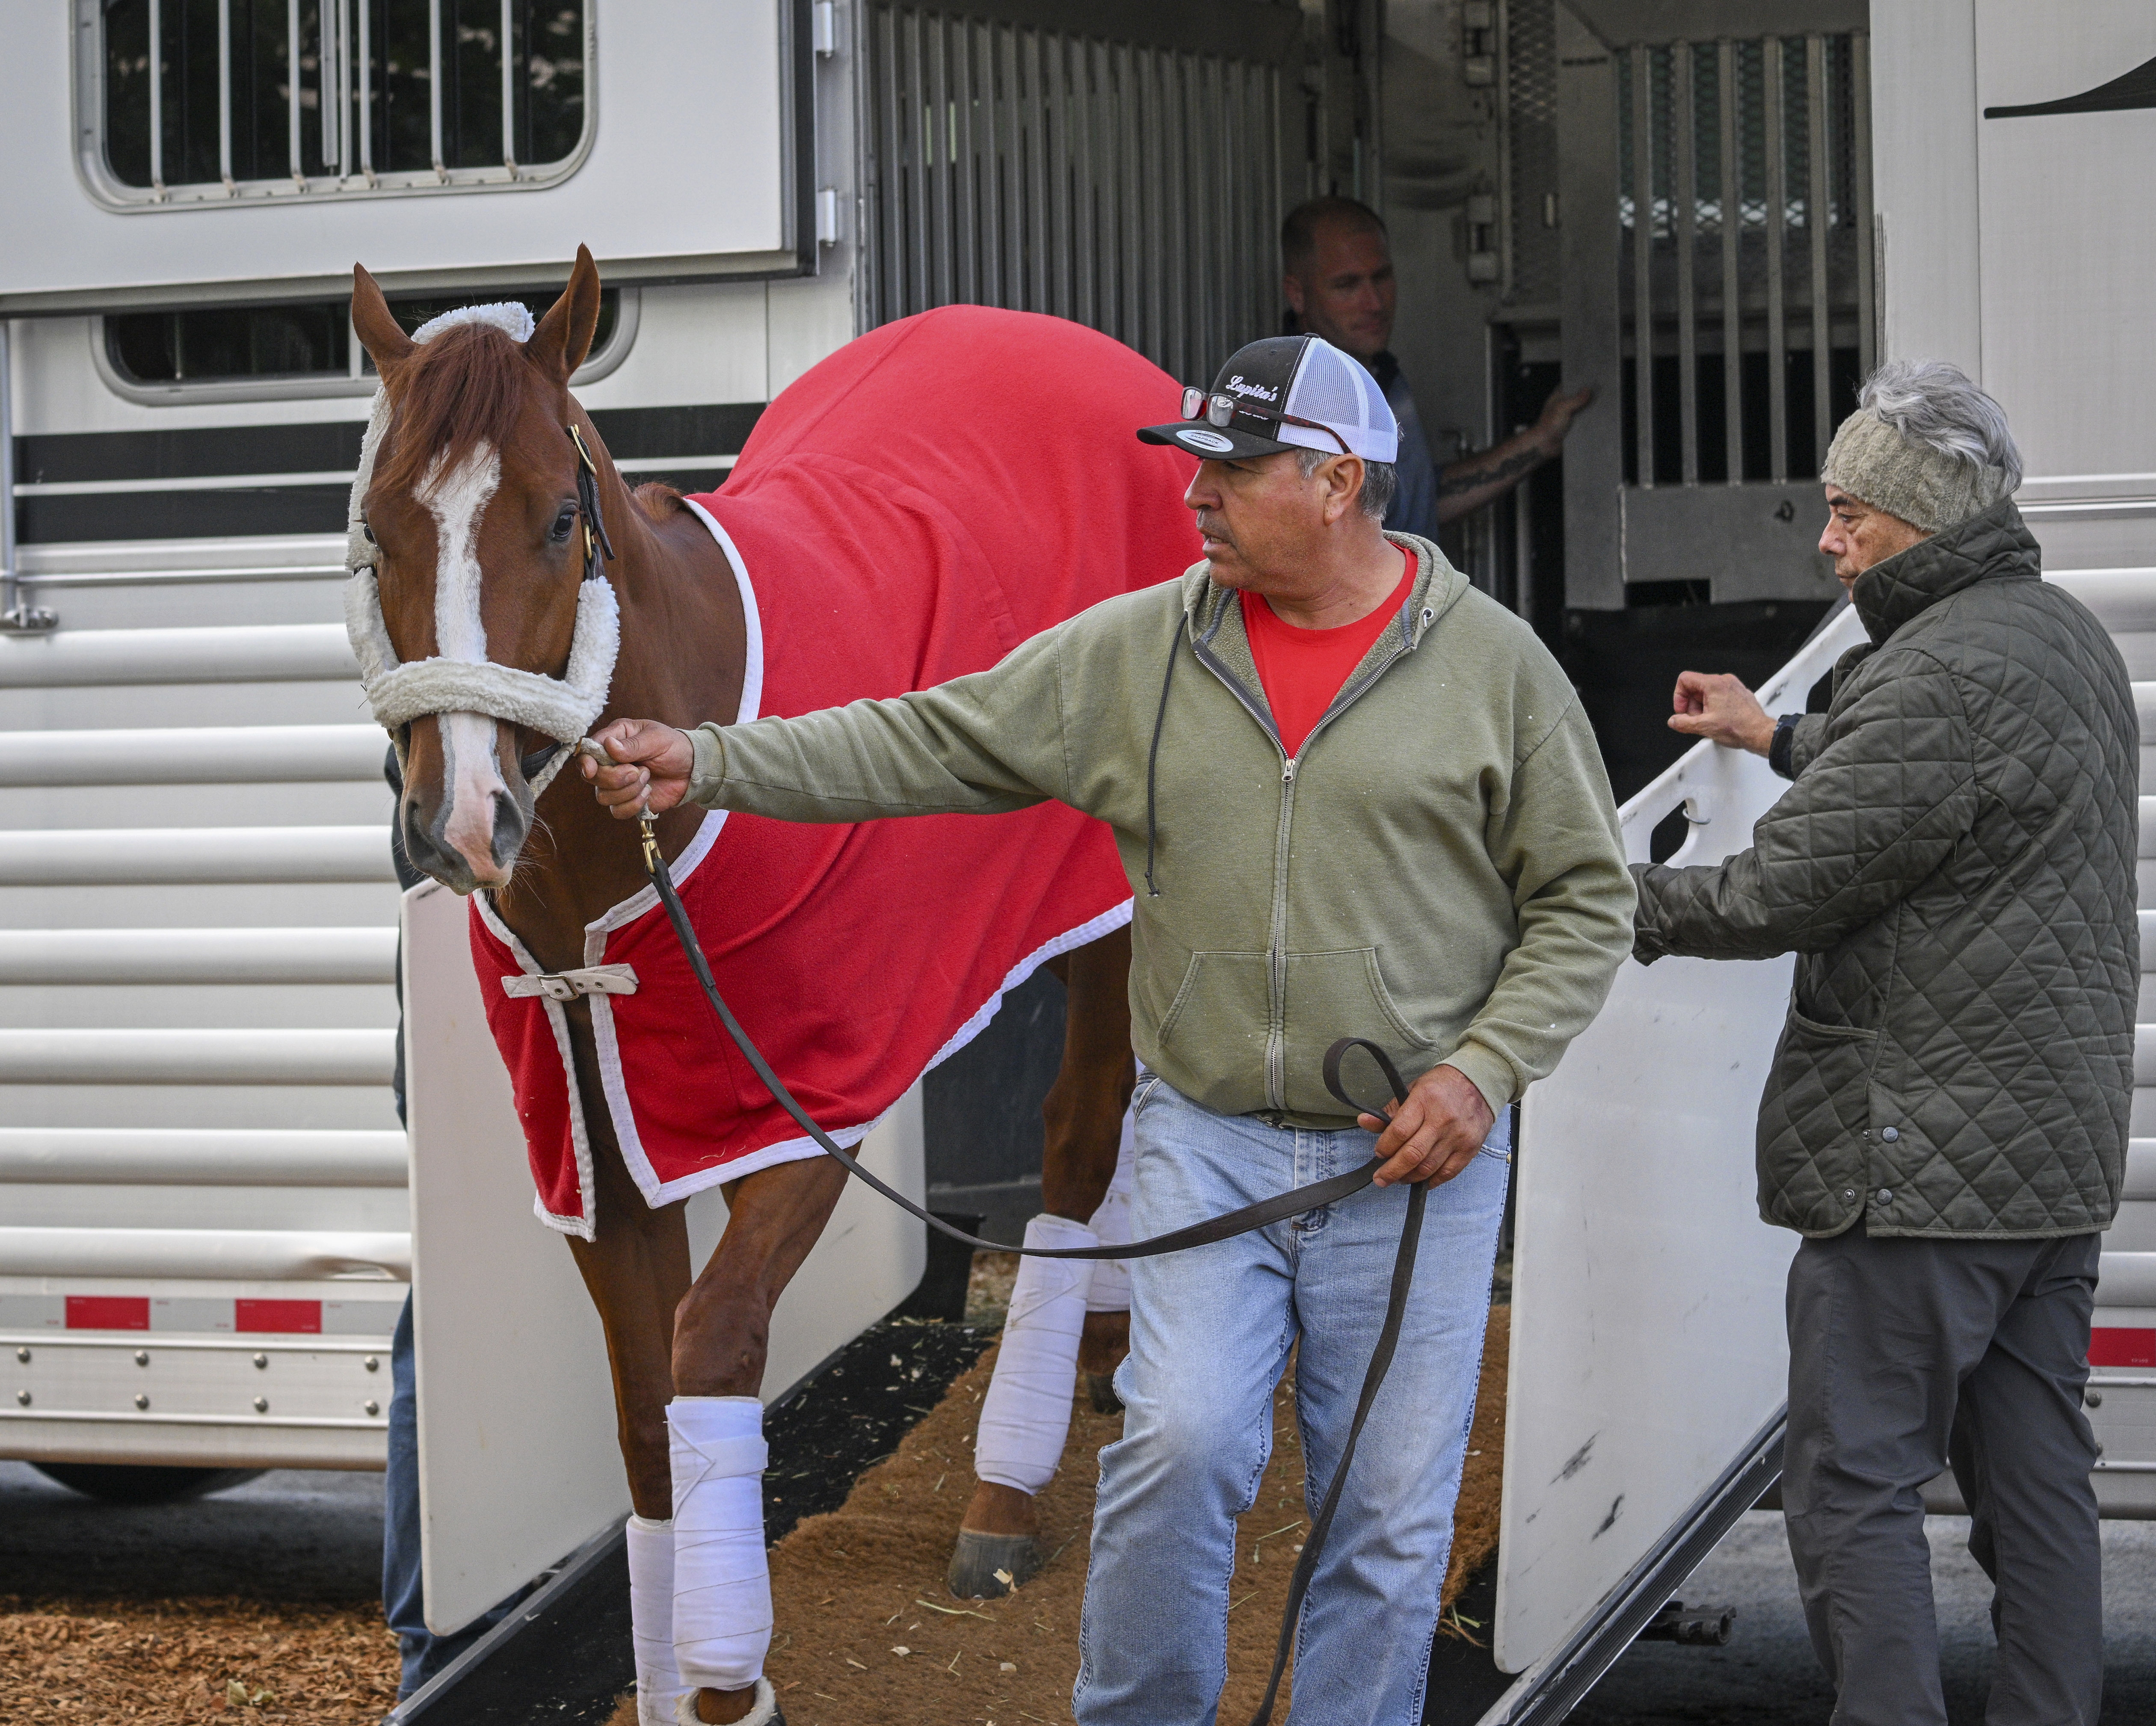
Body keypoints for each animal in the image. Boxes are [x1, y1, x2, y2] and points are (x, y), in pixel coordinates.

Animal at [353, 256, 1155, 1723]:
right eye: (382, 532)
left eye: (562, 516)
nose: (464, 820)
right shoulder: (602, 1145)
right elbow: (641, 1414)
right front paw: (677, 1679)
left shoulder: (798, 1111)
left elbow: (712, 1347)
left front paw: (728, 1679)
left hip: (1110, 900)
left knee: (1082, 1126)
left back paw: (1008, 1486)